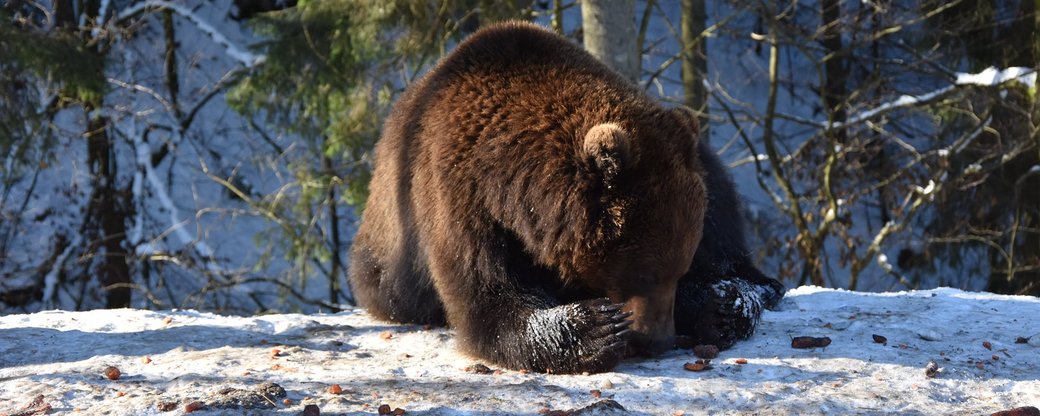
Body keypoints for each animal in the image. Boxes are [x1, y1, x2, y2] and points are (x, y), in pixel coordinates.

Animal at [349, 20, 782, 374]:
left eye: (679, 266)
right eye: (646, 272)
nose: (658, 339)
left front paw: (712, 303)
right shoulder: (458, 196)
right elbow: (486, 295)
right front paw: (595, 328)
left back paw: (731, 301)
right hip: (388, 267)